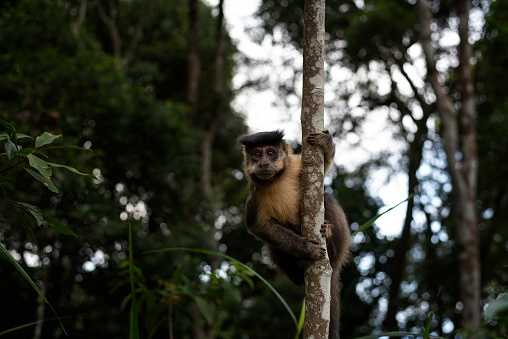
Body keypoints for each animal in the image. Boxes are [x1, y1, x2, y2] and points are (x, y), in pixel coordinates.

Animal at [237, 130, 350, 339]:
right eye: (257, 154)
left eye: (270, 153)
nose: (263, 163)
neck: (277, 178)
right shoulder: (254, 192)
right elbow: (257, 226)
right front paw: (306, 249)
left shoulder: (297, 164)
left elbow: (323, 171)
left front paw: (327, 144)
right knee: (273, 245)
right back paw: (300, 270)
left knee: (327, 198)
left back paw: (329, 237)